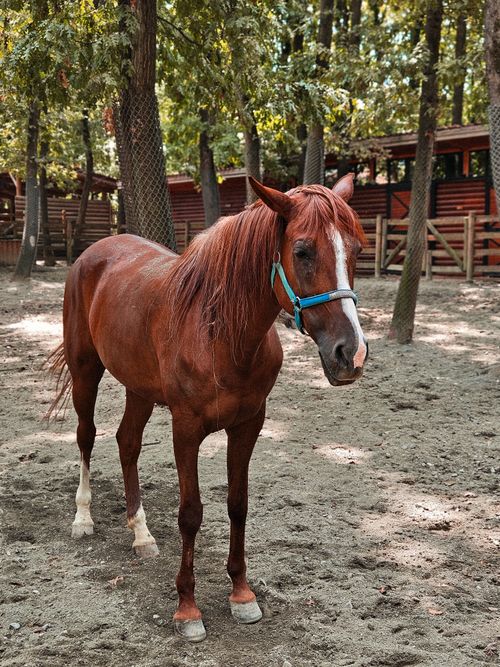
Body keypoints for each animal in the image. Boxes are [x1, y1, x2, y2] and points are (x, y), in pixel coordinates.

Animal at [49, 174, 367, 642]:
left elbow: (238, 504)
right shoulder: (186, 429)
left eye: (357, 249)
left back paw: (141, 534)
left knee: (127, 443)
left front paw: (242, 594)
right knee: (86, 437)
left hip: (139, 389)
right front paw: (187, 609)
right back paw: (82, 518)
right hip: (86, 370)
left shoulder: (249, 425)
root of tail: (92, 253)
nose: (350, 354)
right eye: (303, 251)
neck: (223, 334)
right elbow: (190, 514)